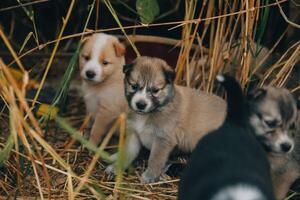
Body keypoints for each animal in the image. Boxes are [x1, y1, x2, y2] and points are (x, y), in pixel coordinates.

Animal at [105, 55, 225, 183]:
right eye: (134, 86)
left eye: (155, 90)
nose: (141, 104)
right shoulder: (134, 135)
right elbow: (127, 153)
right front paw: (115, 167)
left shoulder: (163, 140)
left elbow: (155, 159)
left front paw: (149, 176)